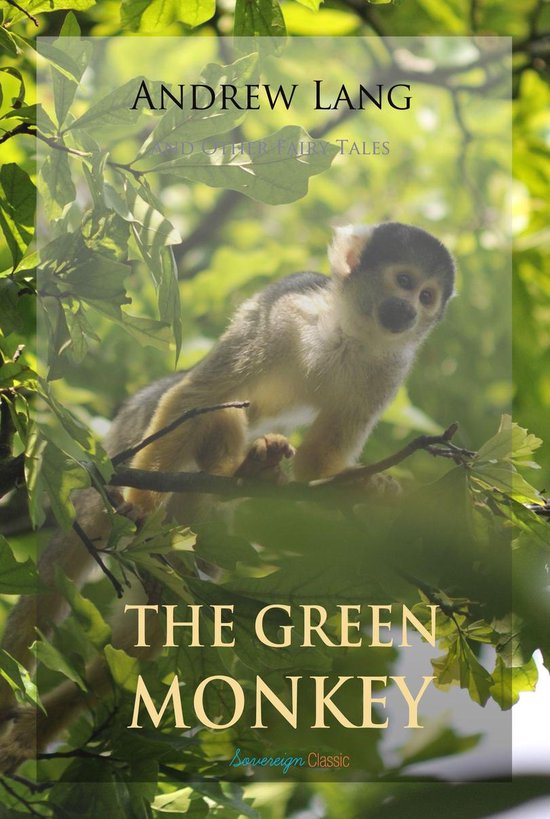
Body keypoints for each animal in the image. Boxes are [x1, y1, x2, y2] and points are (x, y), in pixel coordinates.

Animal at [0, 221, 455, 770]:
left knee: (165, 619)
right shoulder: (279, 316)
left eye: (427, 297)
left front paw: (366, 484)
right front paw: (143, 506)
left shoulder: (388, 368)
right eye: (404, 280)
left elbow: (316, 464)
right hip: (123, 456)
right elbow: (197, 396)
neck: (347, 332)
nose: (410, 310)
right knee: (201, 407)